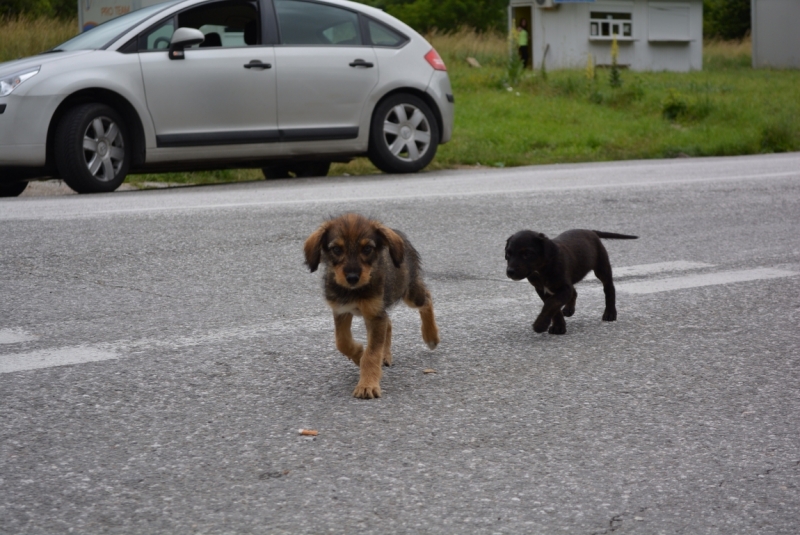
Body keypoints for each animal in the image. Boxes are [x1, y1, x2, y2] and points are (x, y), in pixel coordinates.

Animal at [304, 214, 440, 398]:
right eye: (337, 249)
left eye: (367, 248)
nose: (352, 278)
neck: (355, 291)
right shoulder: (342, 310)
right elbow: (342, 341)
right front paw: (358, 355)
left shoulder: (374, 315)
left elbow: (372, 353)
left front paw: (367, 385)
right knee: (389, 322)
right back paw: (386, 355)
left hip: (409, 292)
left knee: (427, 299)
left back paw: (431, 336)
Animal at [506, 229, 636, 336]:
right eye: (508, 254)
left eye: (527, 254)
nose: (510, 271)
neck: (542, 268)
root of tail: (590, 231)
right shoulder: (542, 289)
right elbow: (554, 307)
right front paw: (558, 327)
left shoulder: (563, 288)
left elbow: (551, 304)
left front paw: (540, 325)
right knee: (575, 292)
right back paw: (569, 309)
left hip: (602, 267)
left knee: (609, 288)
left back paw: (610, 313)